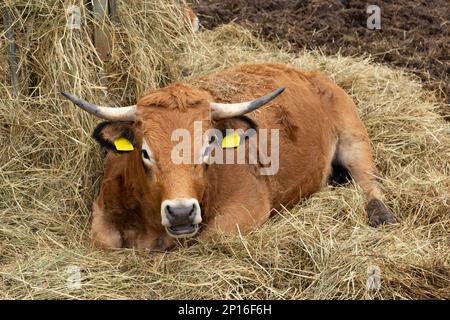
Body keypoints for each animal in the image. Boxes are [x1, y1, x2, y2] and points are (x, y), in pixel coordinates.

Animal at [61, 62, 396, 250]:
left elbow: (208, 238)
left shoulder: (247, 207)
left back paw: (381, 215)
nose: (181, 212)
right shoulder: (102, 209)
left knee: (368, 182)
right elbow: (105, 242)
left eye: (209, 145)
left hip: (354, 137)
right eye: (145, 152)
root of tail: (307, 73)